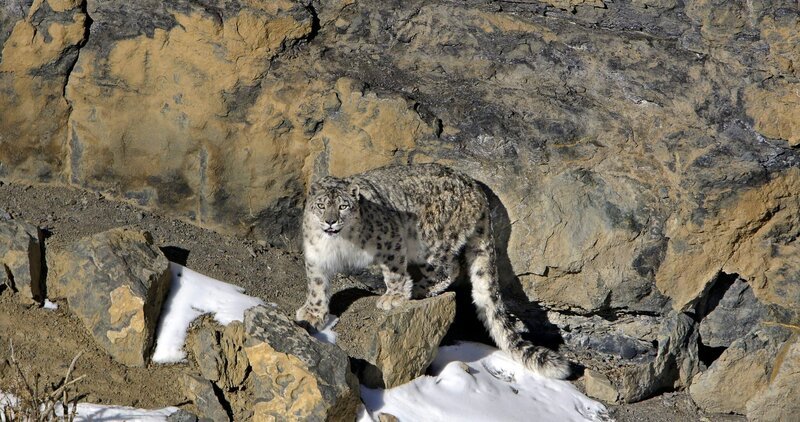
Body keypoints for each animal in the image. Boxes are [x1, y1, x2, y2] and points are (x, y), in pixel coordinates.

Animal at [295, 163, 570, 379]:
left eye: (343, 206)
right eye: (321, 205)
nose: (330, 221)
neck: (339, 245)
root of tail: (475, 187)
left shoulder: (390, 239)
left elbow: (394, 271)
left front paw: (392, 297)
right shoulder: (316, 257)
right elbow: (317, 286)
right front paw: (312, 314)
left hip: (430, 241)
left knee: (450, 268)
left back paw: (418, 289)